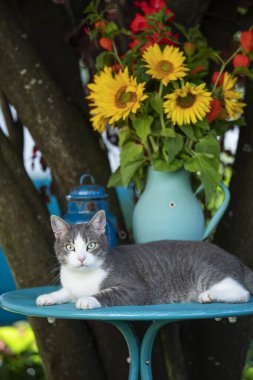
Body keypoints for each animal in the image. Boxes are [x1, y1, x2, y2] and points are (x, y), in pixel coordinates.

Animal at [36, 209, 253, 310]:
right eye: (70, 247)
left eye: (91, 245)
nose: (81, 258)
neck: (83, 277)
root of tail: (237, 261)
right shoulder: (71, 287)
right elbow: (65, 292)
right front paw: (48, 296)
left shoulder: (135, 289)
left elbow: (108, 294)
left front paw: (88, 299)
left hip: (204, 270)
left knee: (242, 292)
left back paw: (209, 295)